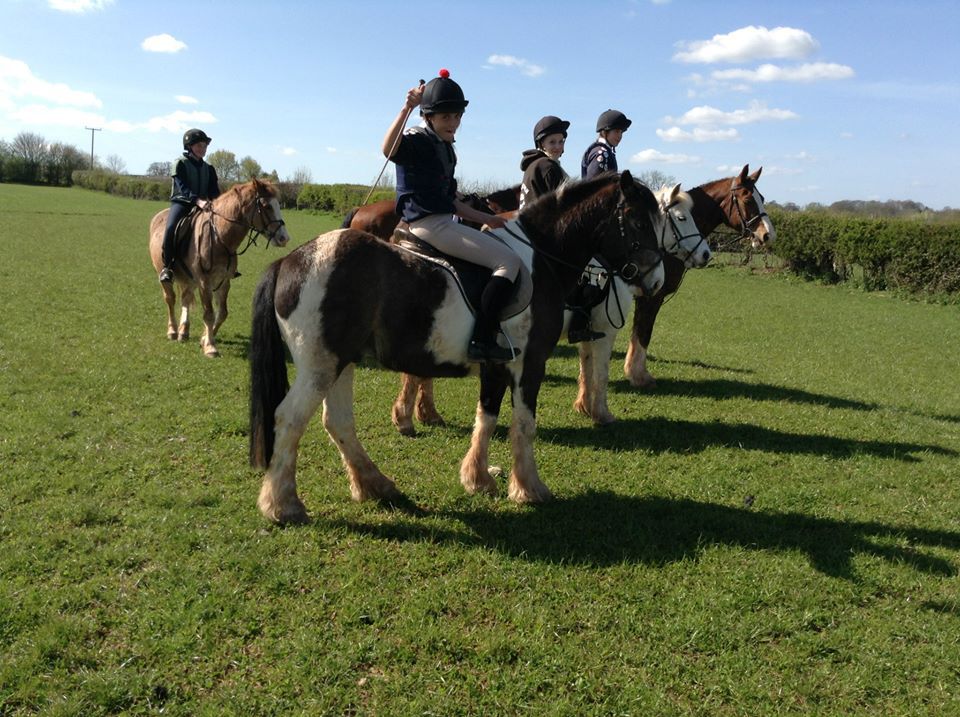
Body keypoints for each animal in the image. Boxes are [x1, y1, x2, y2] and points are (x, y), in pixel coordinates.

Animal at [148, 180, 290, 356]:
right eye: (266, 206)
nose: (284, 238)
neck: (219, 236)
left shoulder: (223, 281)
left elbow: (222, 313)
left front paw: (204, 339)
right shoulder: (204, 282)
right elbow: (209, 313)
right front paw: (210, 346)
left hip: (189, 279)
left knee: (185, 298)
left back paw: (184, 331)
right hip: (165, 275)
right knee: (170, 299)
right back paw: (173, 330)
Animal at [251, 171, 664, 524]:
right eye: (639, 223)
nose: (657, 280)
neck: (541, 258)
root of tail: (289, 260)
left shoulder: (498, 365)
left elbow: (488, 418)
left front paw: (478, 479)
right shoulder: (530, 363)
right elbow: (524, 424)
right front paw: (529, 488)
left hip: (341, 363)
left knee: (337, 422)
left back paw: (375, 485)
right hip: (320, 367)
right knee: (289, 419)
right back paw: (283, 505)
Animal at [392, 182, 712, 434]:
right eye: (681, 218)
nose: (706, 254)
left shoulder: (589, 329)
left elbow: (586, 367)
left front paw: (584, 406)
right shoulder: (606, 329)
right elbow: (601, 372)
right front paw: (602, 413)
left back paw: (421, 414)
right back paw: (410, 416)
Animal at [628, 164, 776, 386]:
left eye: (763, 198)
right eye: (748, 200)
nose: (768, 235)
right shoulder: (651, 297)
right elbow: (643, 332)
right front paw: (638, 375)